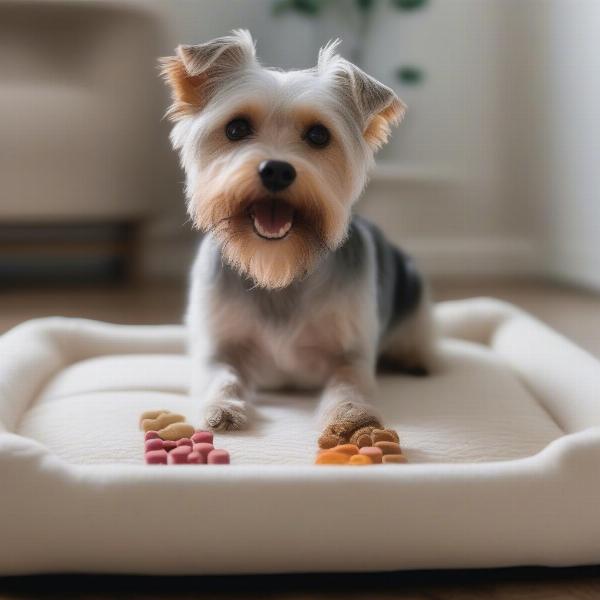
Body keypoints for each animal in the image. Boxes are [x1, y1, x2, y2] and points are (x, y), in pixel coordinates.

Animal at [159, 30, 436, 448]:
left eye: (319, 135)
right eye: (236, 128)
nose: (276, 169)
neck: (280, 266)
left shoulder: (351, 352)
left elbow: (347, 383)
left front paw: (351, 417)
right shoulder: (218, 345)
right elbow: (222, 375)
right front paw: (222, 409)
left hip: (413, 285)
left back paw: (415, 357)